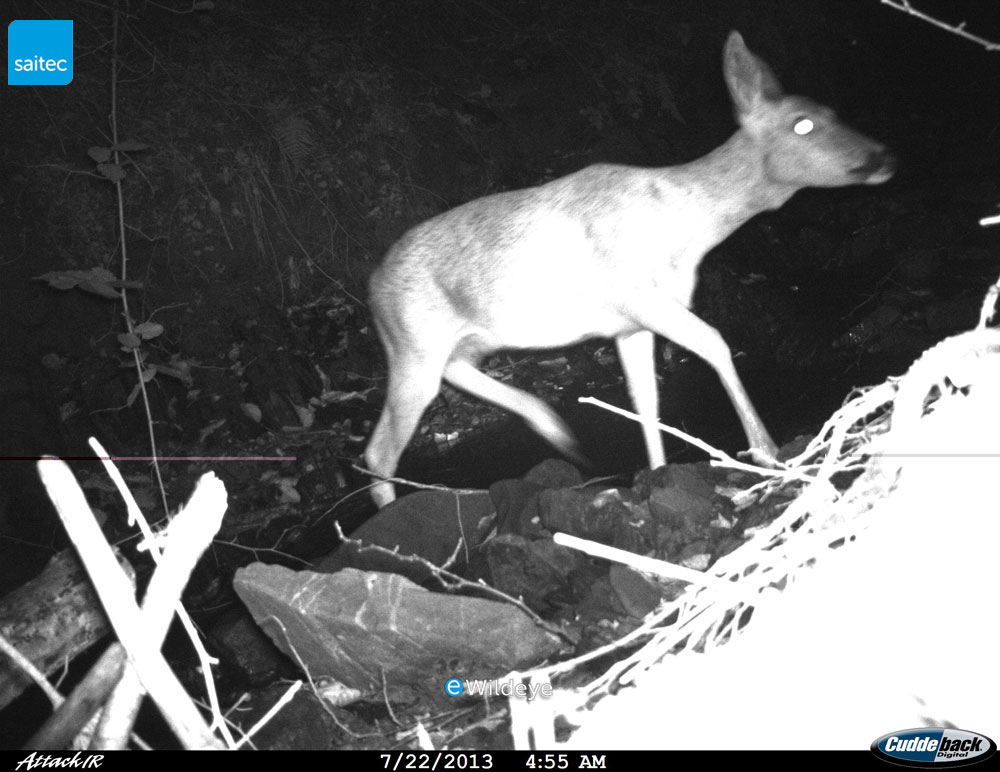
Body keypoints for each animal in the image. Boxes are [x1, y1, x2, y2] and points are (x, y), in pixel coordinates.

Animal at [364, 30, 896, 508]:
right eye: (802, 125)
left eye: (832, 113)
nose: (884, 156)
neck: (686, 224)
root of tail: (370, 285)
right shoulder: (635, 294)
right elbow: (715, 343)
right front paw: (765, 451)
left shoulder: (629, 325)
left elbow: (646, 400)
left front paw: (657, 474)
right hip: (413, 345)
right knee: (378, 450)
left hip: (461, 342)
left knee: (458, 377)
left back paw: (557, 430)